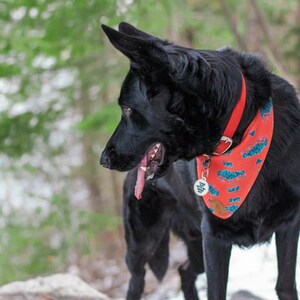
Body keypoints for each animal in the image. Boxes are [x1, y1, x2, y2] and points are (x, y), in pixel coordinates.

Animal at [101, 22, 300, 298]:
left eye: (128, 109)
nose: (103, 159)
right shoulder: (213, 236)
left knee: (184, 270)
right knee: (137, 281)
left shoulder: (289, 223)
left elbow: (285, 285)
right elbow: (217, 291)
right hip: (142, 245)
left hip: (195, 246)